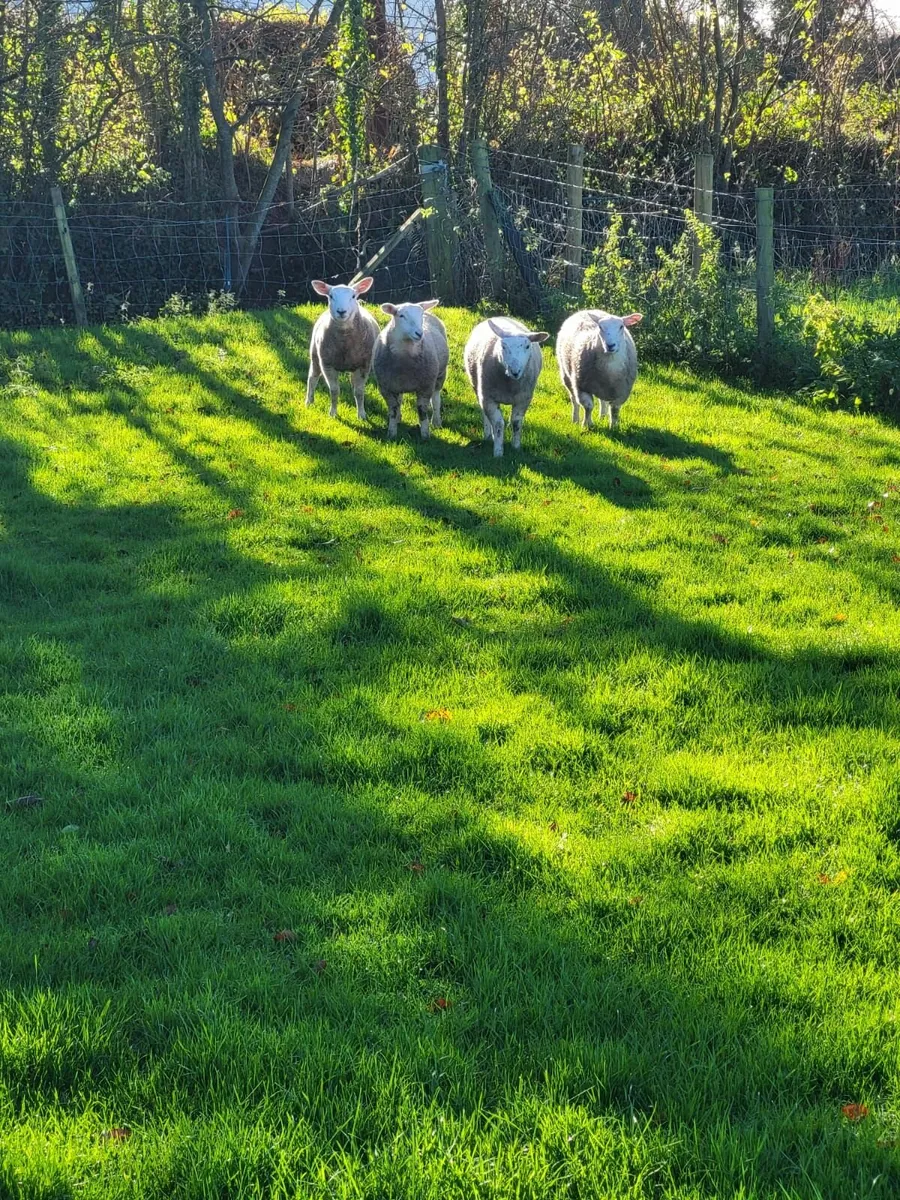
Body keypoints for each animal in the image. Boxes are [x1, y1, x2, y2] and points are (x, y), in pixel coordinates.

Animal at [306, 276, 379, 420]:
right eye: (331, 296)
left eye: (353, 296)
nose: (341, 311)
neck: (345, 344)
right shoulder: (327, 365)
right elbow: (334, 391)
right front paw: (333, 413)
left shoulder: (364, 365)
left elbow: (359, 391)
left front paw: (361, 414)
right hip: (315, 356)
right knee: (312, 377)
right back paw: (309, 401)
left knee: (354, 384)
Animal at [372, 300, 449, 440]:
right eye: (401, 315)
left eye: (420, 315)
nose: (419, 333)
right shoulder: (386, 388)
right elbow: (393, 409)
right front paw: (392, 433)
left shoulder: (425, 386)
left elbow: (422, 411)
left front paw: (425, 435)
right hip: (397, 384)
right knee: (400, 400)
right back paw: (398, 418)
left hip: (440, 375)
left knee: (436, 399)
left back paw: (436, 421)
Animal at [463, 316, 549, 458]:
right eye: (503, 346)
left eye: (527, 346)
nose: (515, 371)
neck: (510, 386)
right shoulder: (488, 398)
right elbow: (498, 424)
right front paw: (498, 452)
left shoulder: (523, 399)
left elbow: (516, 423)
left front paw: (516, 447)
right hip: (478, 388)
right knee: (485, 415)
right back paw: (488, 436)